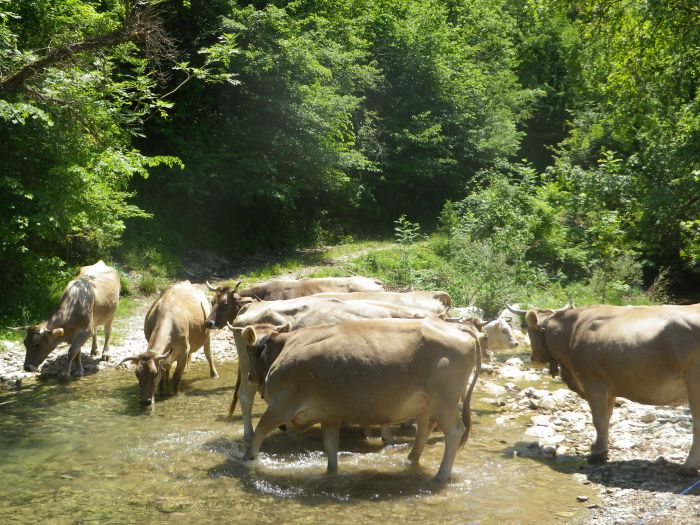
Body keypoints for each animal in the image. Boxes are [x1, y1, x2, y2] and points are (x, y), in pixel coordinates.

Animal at [235, 318, 482, 482]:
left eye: (247, 349)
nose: (249, 376)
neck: (281, 349)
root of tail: (457, 327)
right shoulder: (329, 413)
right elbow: (330, 445)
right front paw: (331, 472)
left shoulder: (281, 406)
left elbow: (258, 432)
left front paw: (247, 460)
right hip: (426, 404)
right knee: (424, 429)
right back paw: (410, 461)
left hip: (444, 401)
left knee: (454, 432)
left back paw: (441, 475)